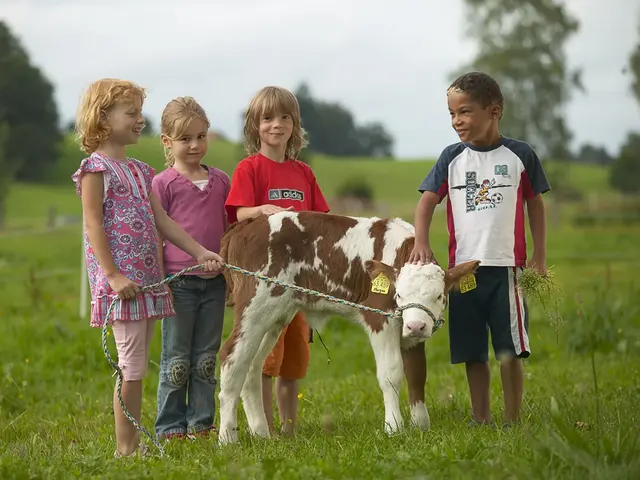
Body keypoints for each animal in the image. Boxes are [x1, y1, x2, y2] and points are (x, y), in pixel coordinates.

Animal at [218, 212, 478, 444]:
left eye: (439, 296)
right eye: (399, 295)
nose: (416, 325)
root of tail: (248, 224)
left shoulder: (411, 333)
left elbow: (417, 373)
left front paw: (421, 425)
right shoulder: (379, 319)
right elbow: (392, 373)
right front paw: (394, 427)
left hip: (275, 316)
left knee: (251, 366)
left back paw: (261, 433)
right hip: (255, 305)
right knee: (231, 358)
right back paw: (228, 438)